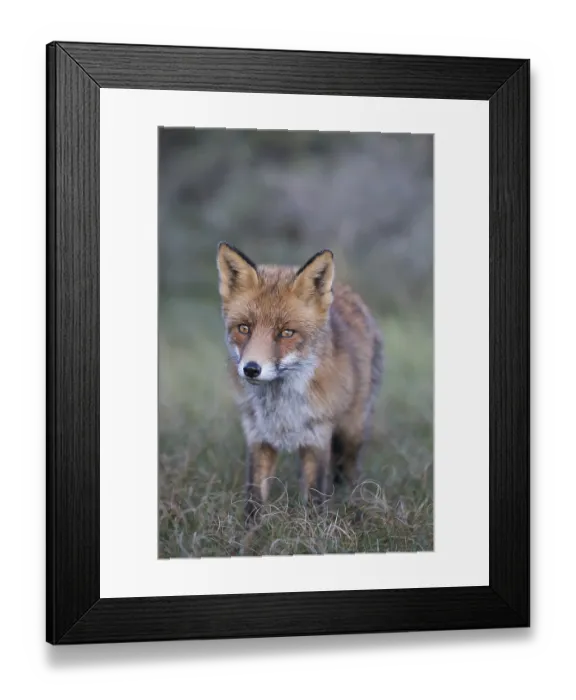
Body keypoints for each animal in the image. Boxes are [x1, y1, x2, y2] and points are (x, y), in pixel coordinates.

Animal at [216, 241, 384, 521]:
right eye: (244, 328)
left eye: (286, 332)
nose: (251, 369)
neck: (281, 408)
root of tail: (346, 290)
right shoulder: (258, 436)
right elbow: (253, 499)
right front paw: (249, 533)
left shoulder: (317, 437)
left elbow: (315, 498)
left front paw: (316, 529)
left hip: (351, 432)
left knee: (350, 471)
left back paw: (355, 504)